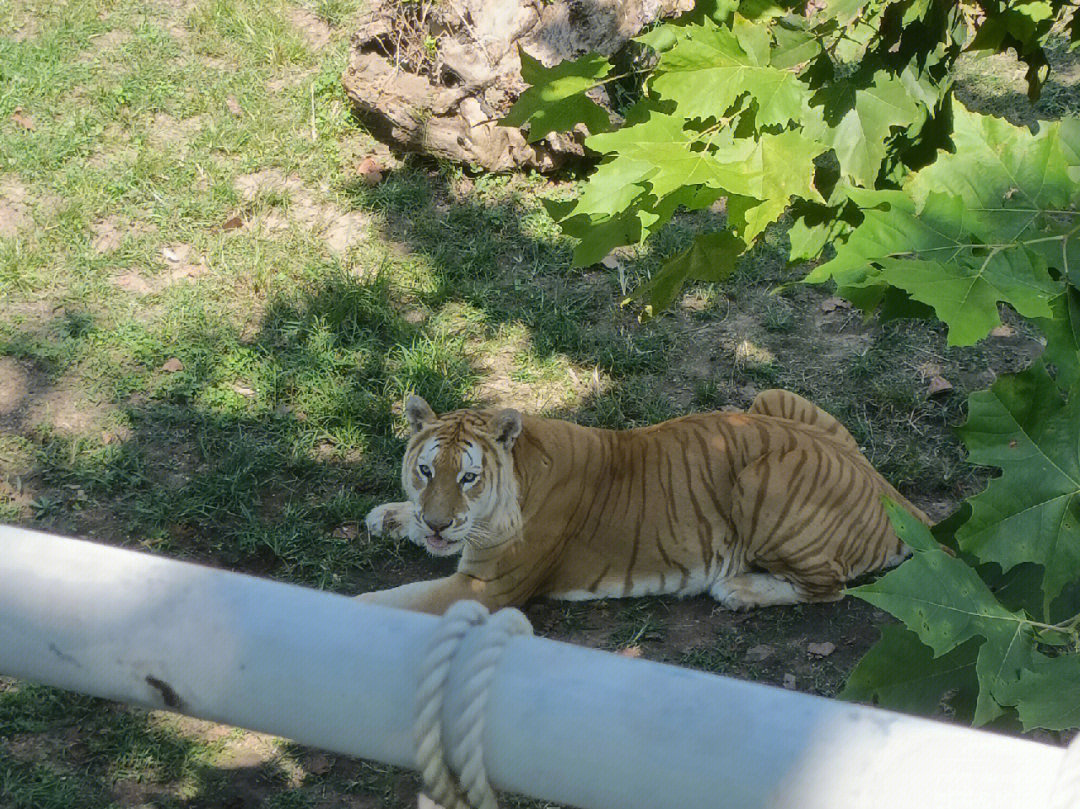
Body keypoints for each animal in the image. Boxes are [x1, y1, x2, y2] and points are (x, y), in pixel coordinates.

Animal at [360, 388, 928, 613]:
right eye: (426, 471)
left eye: (469, 478)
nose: (438, 524)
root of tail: (894, 495)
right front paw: (388, 515)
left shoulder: (485, 587)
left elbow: (392, 601)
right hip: (770, 399)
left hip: (762, 480)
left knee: (830, 589)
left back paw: (738, 590)